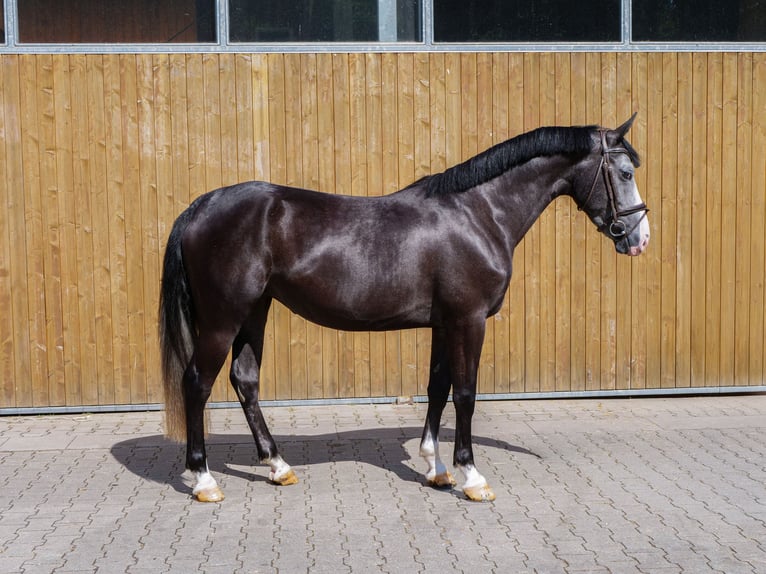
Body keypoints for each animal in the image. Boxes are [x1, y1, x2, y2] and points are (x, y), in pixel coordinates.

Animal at [159, 115, 649, 503]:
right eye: (625, 172)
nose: (639, 238)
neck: (478, 213)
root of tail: (202, 205)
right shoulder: (468, 320)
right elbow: (466, 393)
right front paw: (472, 477)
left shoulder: (444, 323)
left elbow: (437, 388)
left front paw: (436, 469)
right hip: (223, 319)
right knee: (197, 384)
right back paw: (204, 481)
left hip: (254, 311)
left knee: (245, 381)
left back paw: (279, 467)